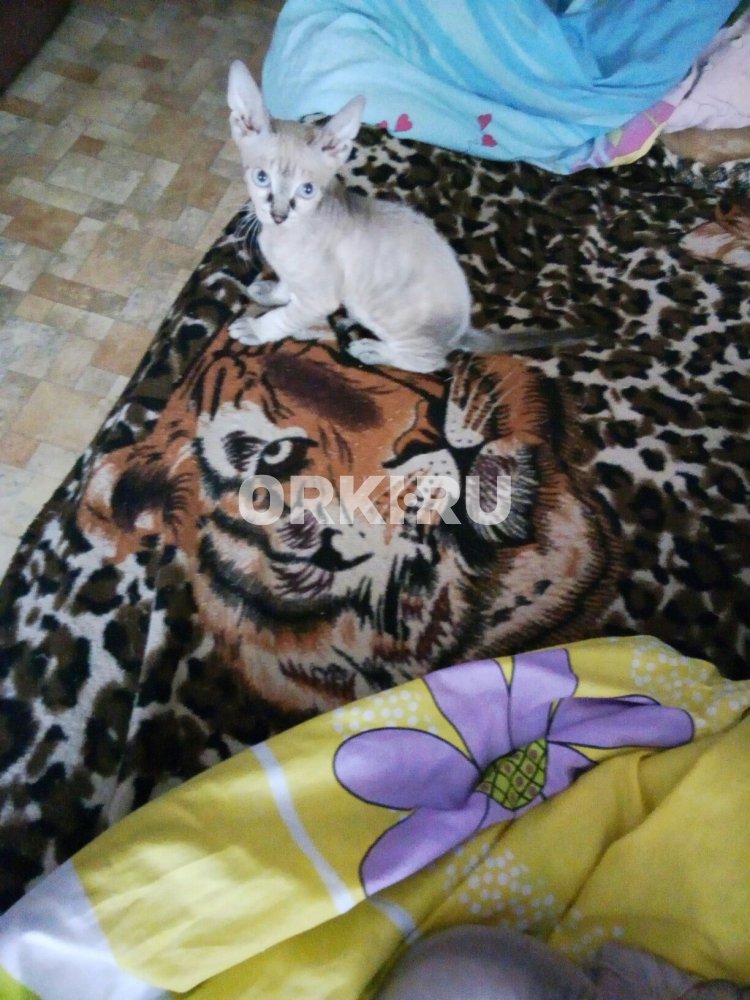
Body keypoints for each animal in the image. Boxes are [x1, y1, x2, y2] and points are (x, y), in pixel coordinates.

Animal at [226, 60, 600, 373]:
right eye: (262, 178)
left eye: (306, 190)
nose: (278, 213)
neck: (282, 236)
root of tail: (463, 328)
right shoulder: (299, 277)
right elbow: (286, 289)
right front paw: (270, 292)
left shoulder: (322, 297)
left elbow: (285, 317)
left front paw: (256, 328)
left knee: (429, 362)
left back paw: (374, 350)